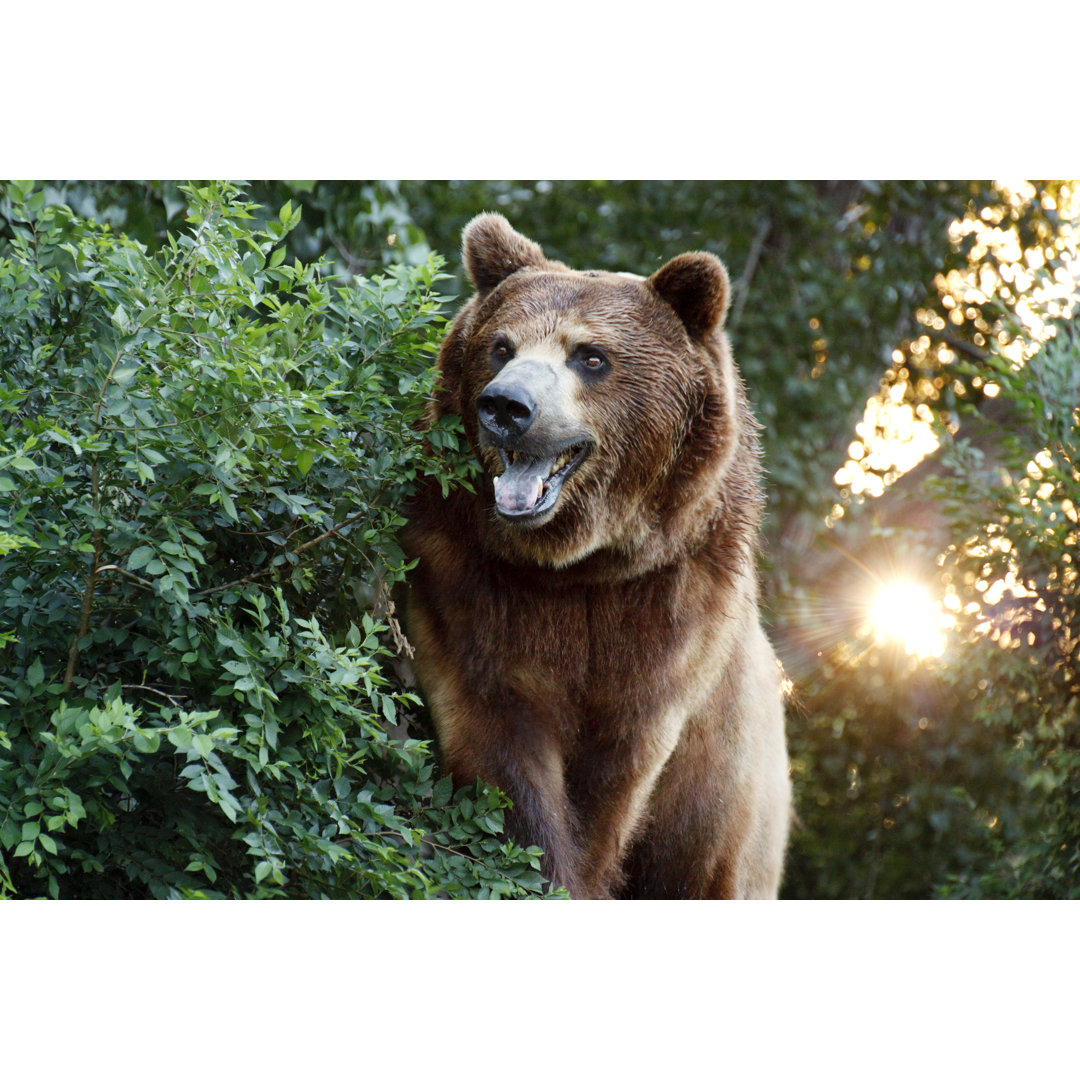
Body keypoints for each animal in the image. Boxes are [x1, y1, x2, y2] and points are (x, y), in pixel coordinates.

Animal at [401, 214, 790, 898]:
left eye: (590, 356)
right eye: (501, 346)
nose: (507, 406)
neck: (581, 563)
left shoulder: (668, 619)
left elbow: (613, 775)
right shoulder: (469, 585)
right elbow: (502, 744)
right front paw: (539, 864)